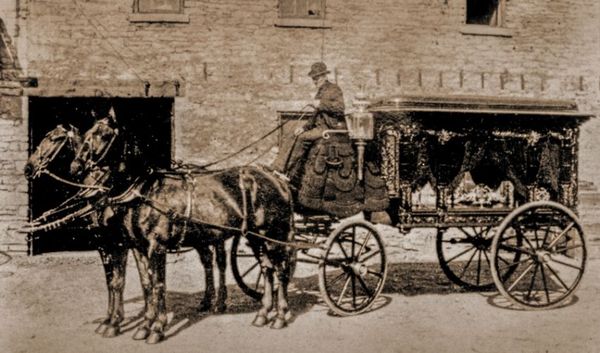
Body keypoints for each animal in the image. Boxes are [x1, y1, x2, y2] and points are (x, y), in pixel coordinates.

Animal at [70, 108, 296, 342]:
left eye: (104, 134)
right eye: (87, 133)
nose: (76, 166)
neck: (145, 191)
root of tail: (278, 179)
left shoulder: (153, 247)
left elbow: (157, 285)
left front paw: (156, 327)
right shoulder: (137, 247)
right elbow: (146, 284)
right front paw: (144, 325)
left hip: (273, 235)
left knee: (280, 271)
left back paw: (279, 316)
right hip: (255, 236)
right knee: (266, 269)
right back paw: (262, 313)